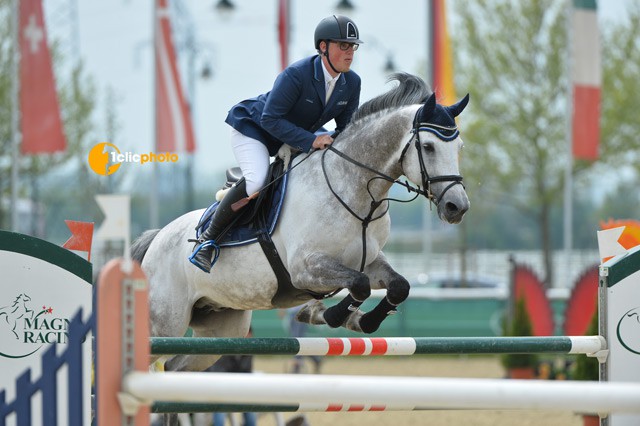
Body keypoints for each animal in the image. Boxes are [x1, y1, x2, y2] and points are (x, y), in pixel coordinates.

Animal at [131, 73, 470, 376]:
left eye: (460, 147)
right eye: (428, 147)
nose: (457, 207)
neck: (356, 192)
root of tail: (156, 239)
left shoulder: (369, 260)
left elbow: (399, 286)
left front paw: (359, 320)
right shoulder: (305, 268)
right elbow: (358, 284)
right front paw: (329, 314)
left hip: (221, 326)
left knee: (176, 367)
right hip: (165, 322)